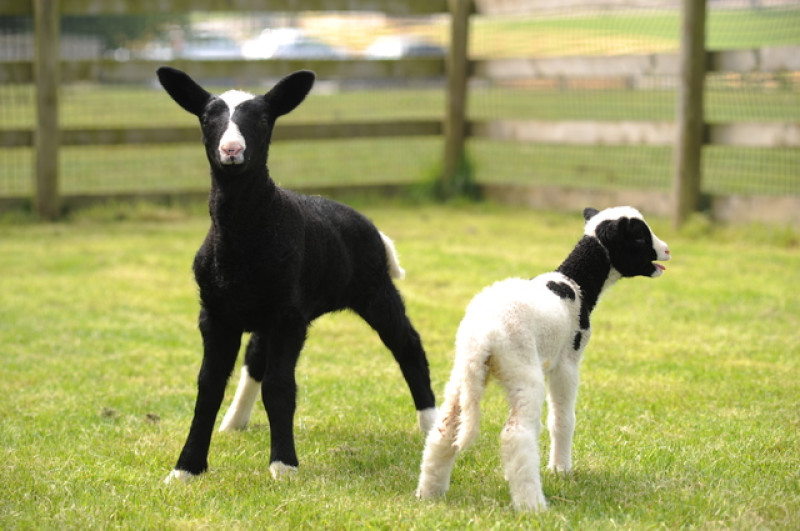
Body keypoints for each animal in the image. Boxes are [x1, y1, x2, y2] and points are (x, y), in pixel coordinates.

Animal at [155, 66, 436, 484]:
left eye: (262, 119)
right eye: (207, 118)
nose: (231, 151)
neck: (242, 237)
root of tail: (369, 226)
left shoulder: (288, 317)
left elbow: (280, 386)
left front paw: (283, 465)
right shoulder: (216, 315)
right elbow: (208, 387)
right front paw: (186, 469)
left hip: (375, 292)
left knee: (408, 346)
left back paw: (432, 425)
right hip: (265, 310)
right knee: (255, 359)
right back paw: (234, 422)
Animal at [415, 206, 671, 511]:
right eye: (640, 238)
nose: (667, 250)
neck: (577, 283)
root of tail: (483, 335)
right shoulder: (567, 362)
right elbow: (562, 418)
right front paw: (561, 469)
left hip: (463, 374)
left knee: (445, 430)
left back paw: (429, 493)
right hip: (523, 372)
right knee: (516, 435)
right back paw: (532, 505)